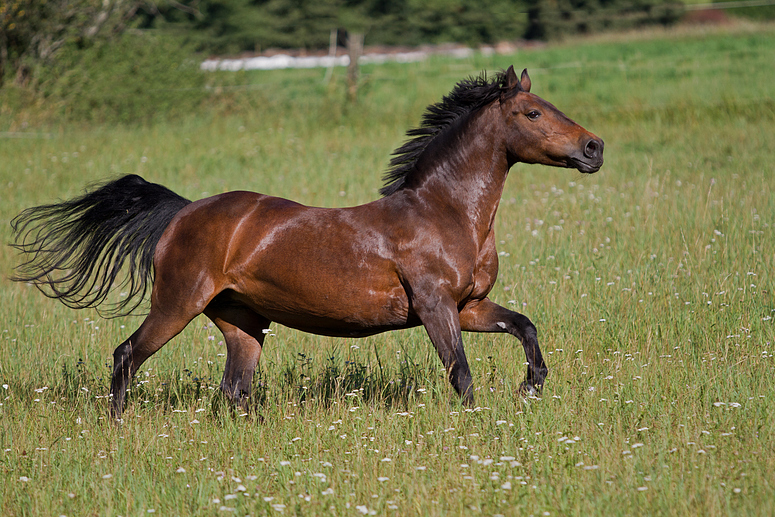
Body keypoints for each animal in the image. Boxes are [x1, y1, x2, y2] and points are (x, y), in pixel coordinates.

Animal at [13, 67, 608, 416]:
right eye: (532, 112)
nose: (594, 148)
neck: (446, 213)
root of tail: (182, 212)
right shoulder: (436, 306)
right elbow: (460, 373)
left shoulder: (470, 305)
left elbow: (525, 327)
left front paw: (531, 386)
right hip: (177, 304)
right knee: (127, 355)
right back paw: (119, 424)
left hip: (242, 321)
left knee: (234, 390)